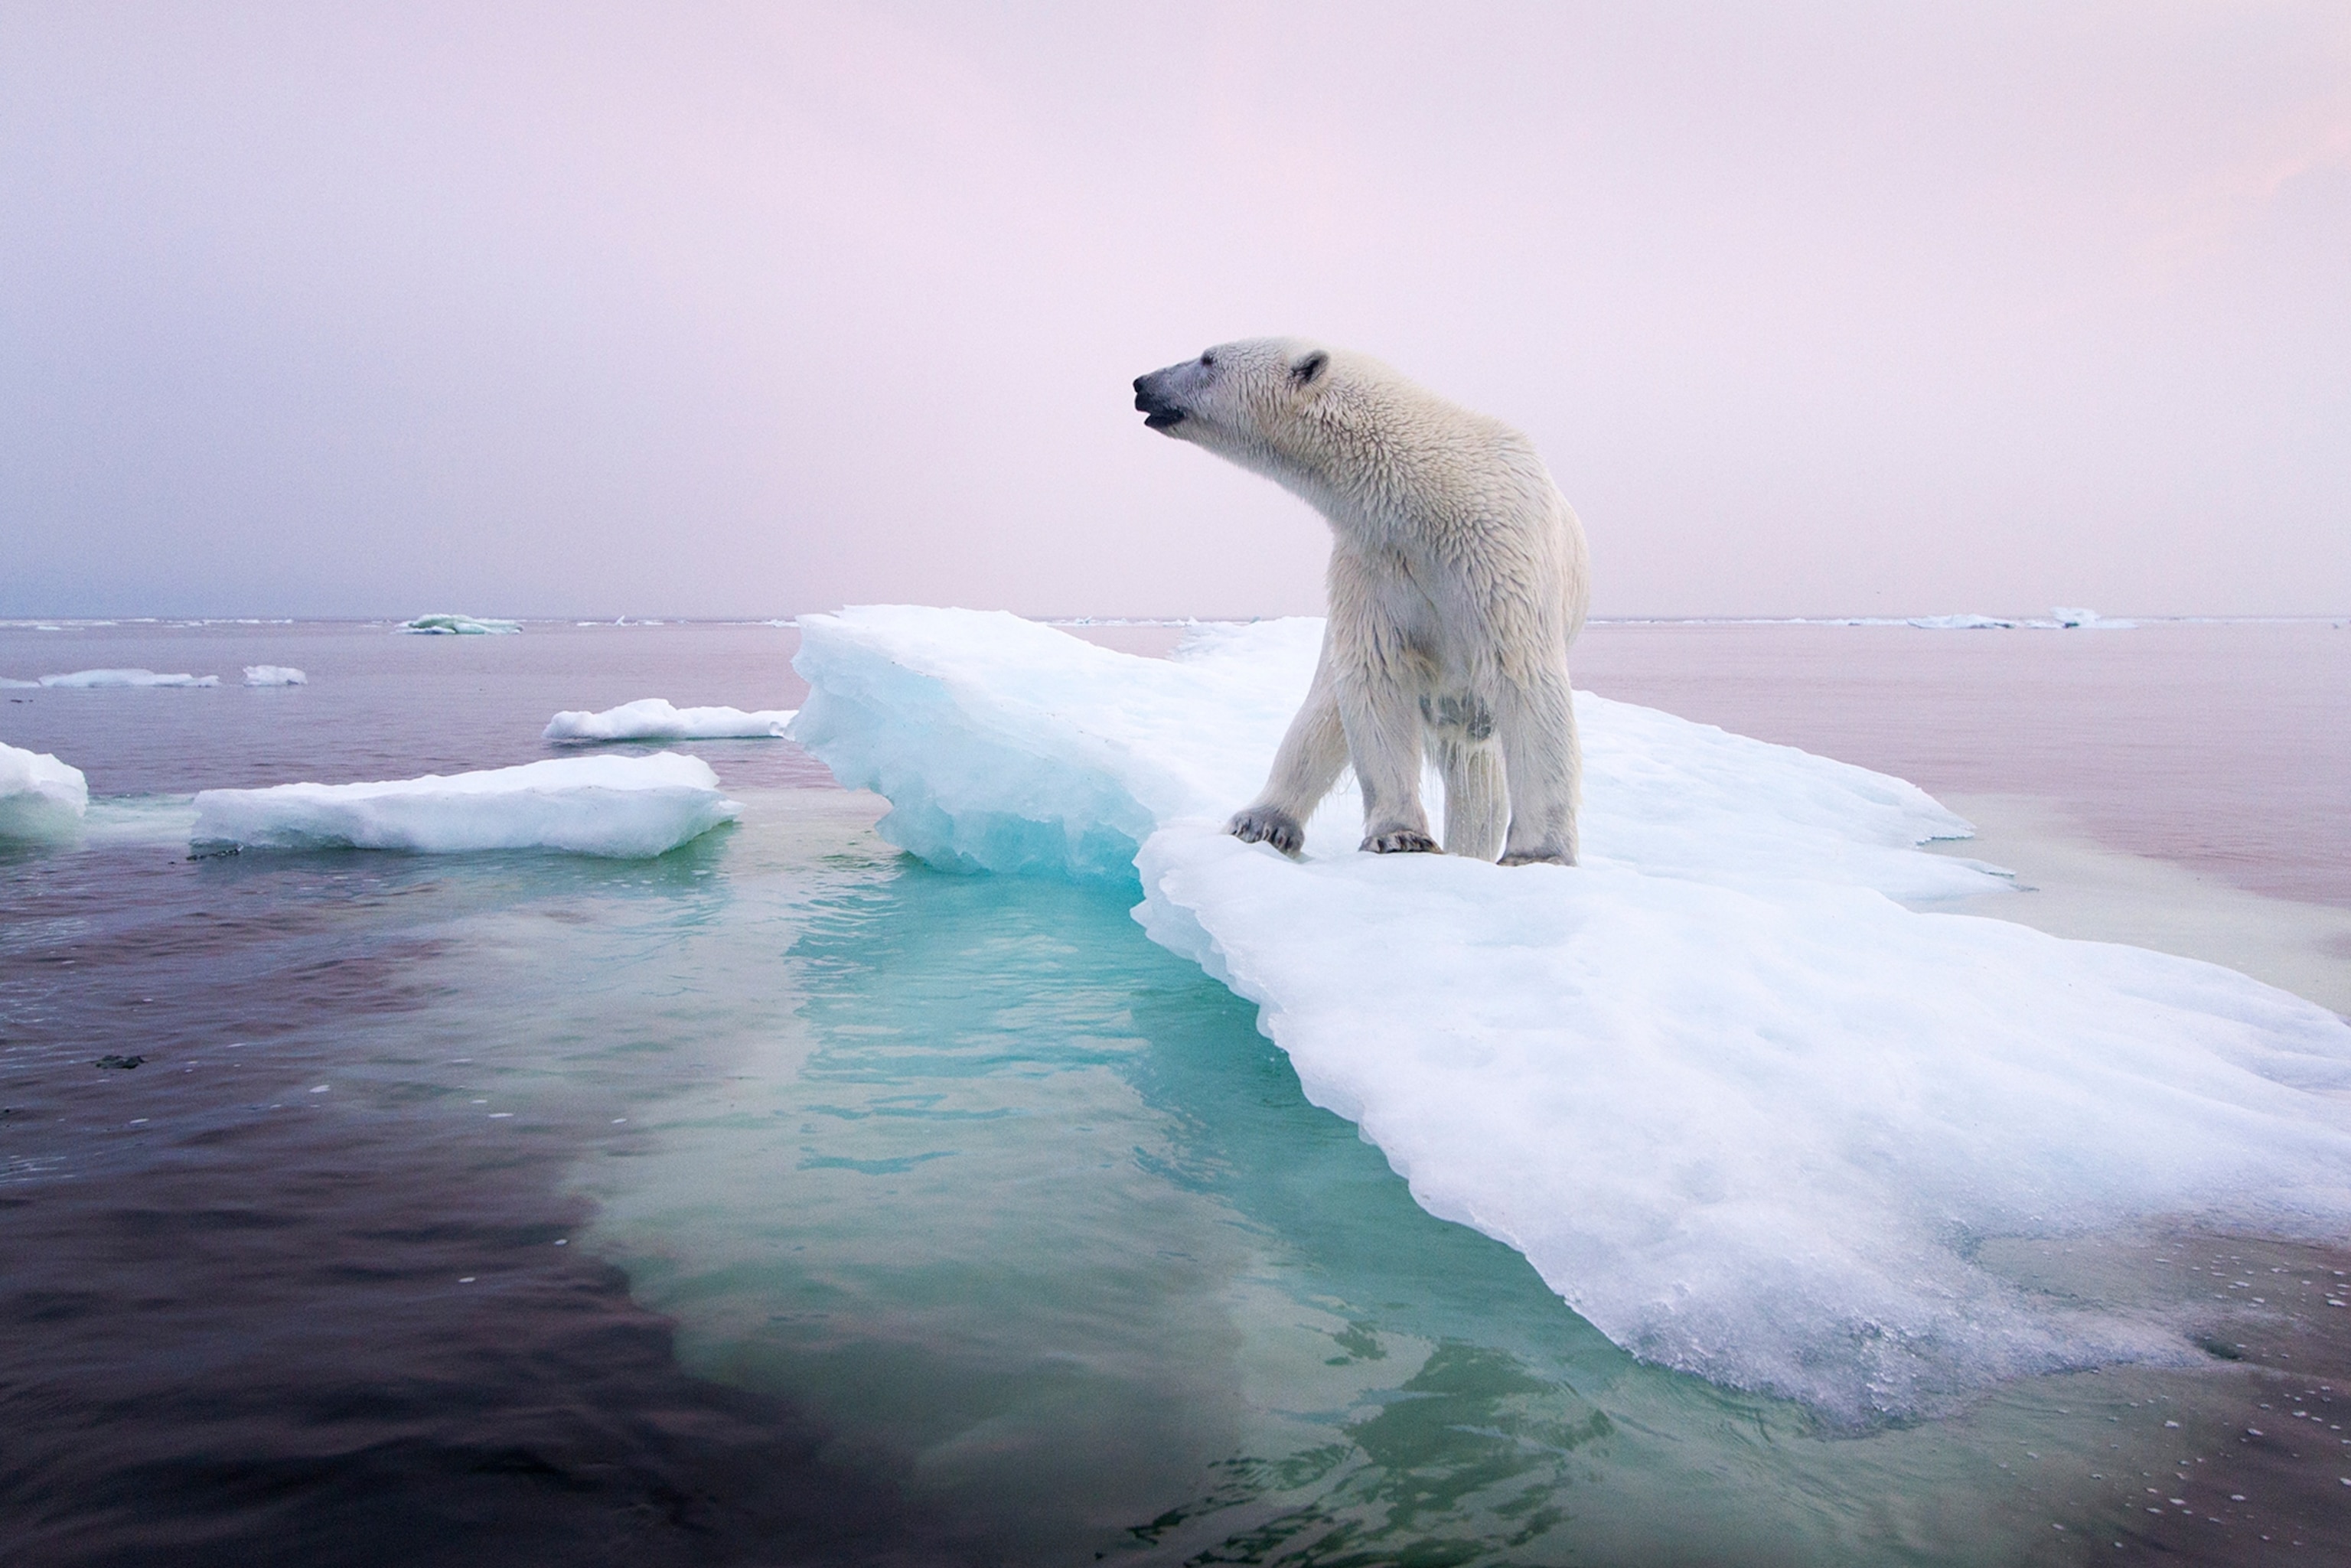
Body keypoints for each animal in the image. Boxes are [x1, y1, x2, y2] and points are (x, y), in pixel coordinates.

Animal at [1128, 336, 1589, 865]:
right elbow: (1374, 674)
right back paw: (1263, 821)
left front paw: (1539, 854)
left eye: (1208, 358)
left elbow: (1524, 678)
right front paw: (1401, 836)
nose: (1142, 383)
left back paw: (1468, 851)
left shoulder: (1497, 558)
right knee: (1323, 715)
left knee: (1479, 780)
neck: (1429, 498)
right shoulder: (1372, 564)